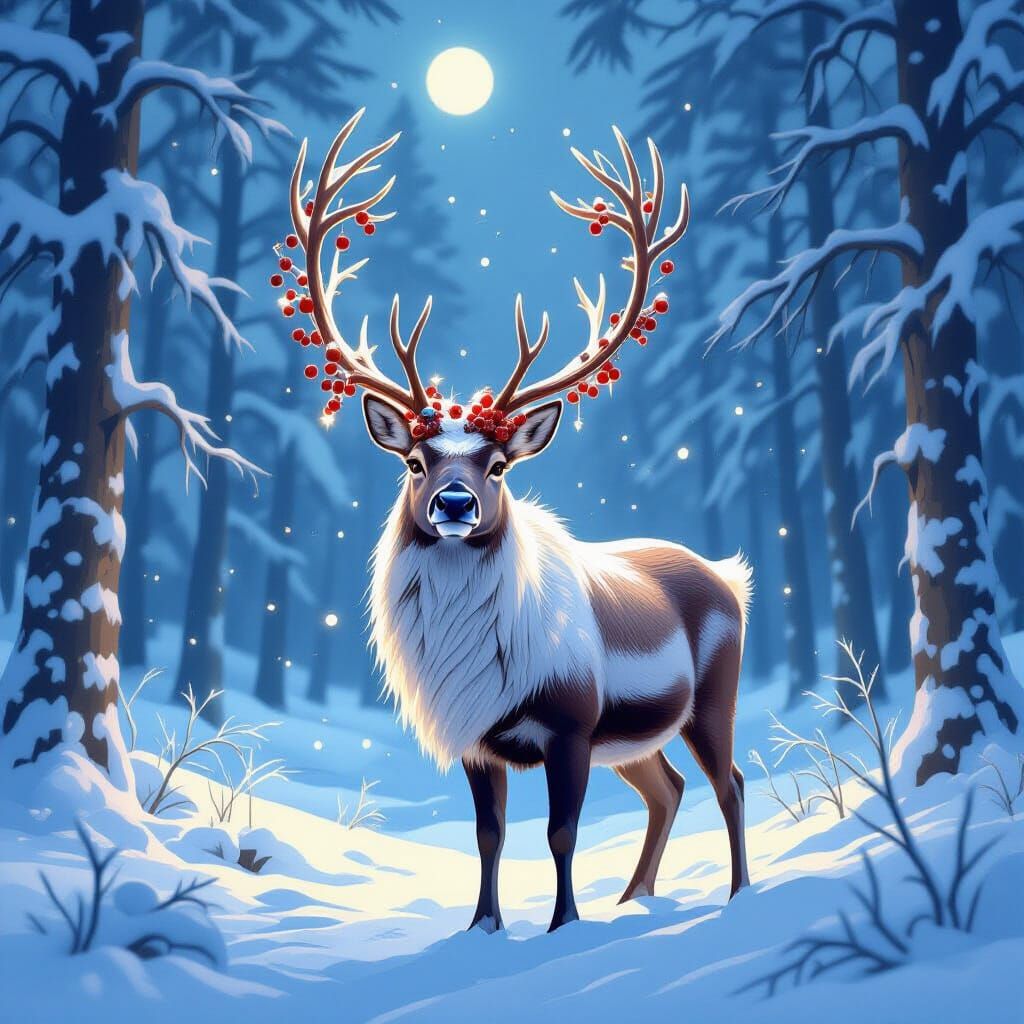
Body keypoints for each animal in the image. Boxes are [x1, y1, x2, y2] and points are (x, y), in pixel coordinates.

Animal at [278, 109, 751, 933]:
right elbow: (489, 834)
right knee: (668, 789)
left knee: (729, 784)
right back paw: (634, 899)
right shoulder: (477, 739)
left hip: (710, 697)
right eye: (415, 462)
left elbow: (561, 831)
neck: (477, 663)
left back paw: (737, 896)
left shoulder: (571, 724)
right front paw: (483, 928)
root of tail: (730, 578)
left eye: (498, 466)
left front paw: (563, 925)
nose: (455, 504)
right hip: (633, 738)